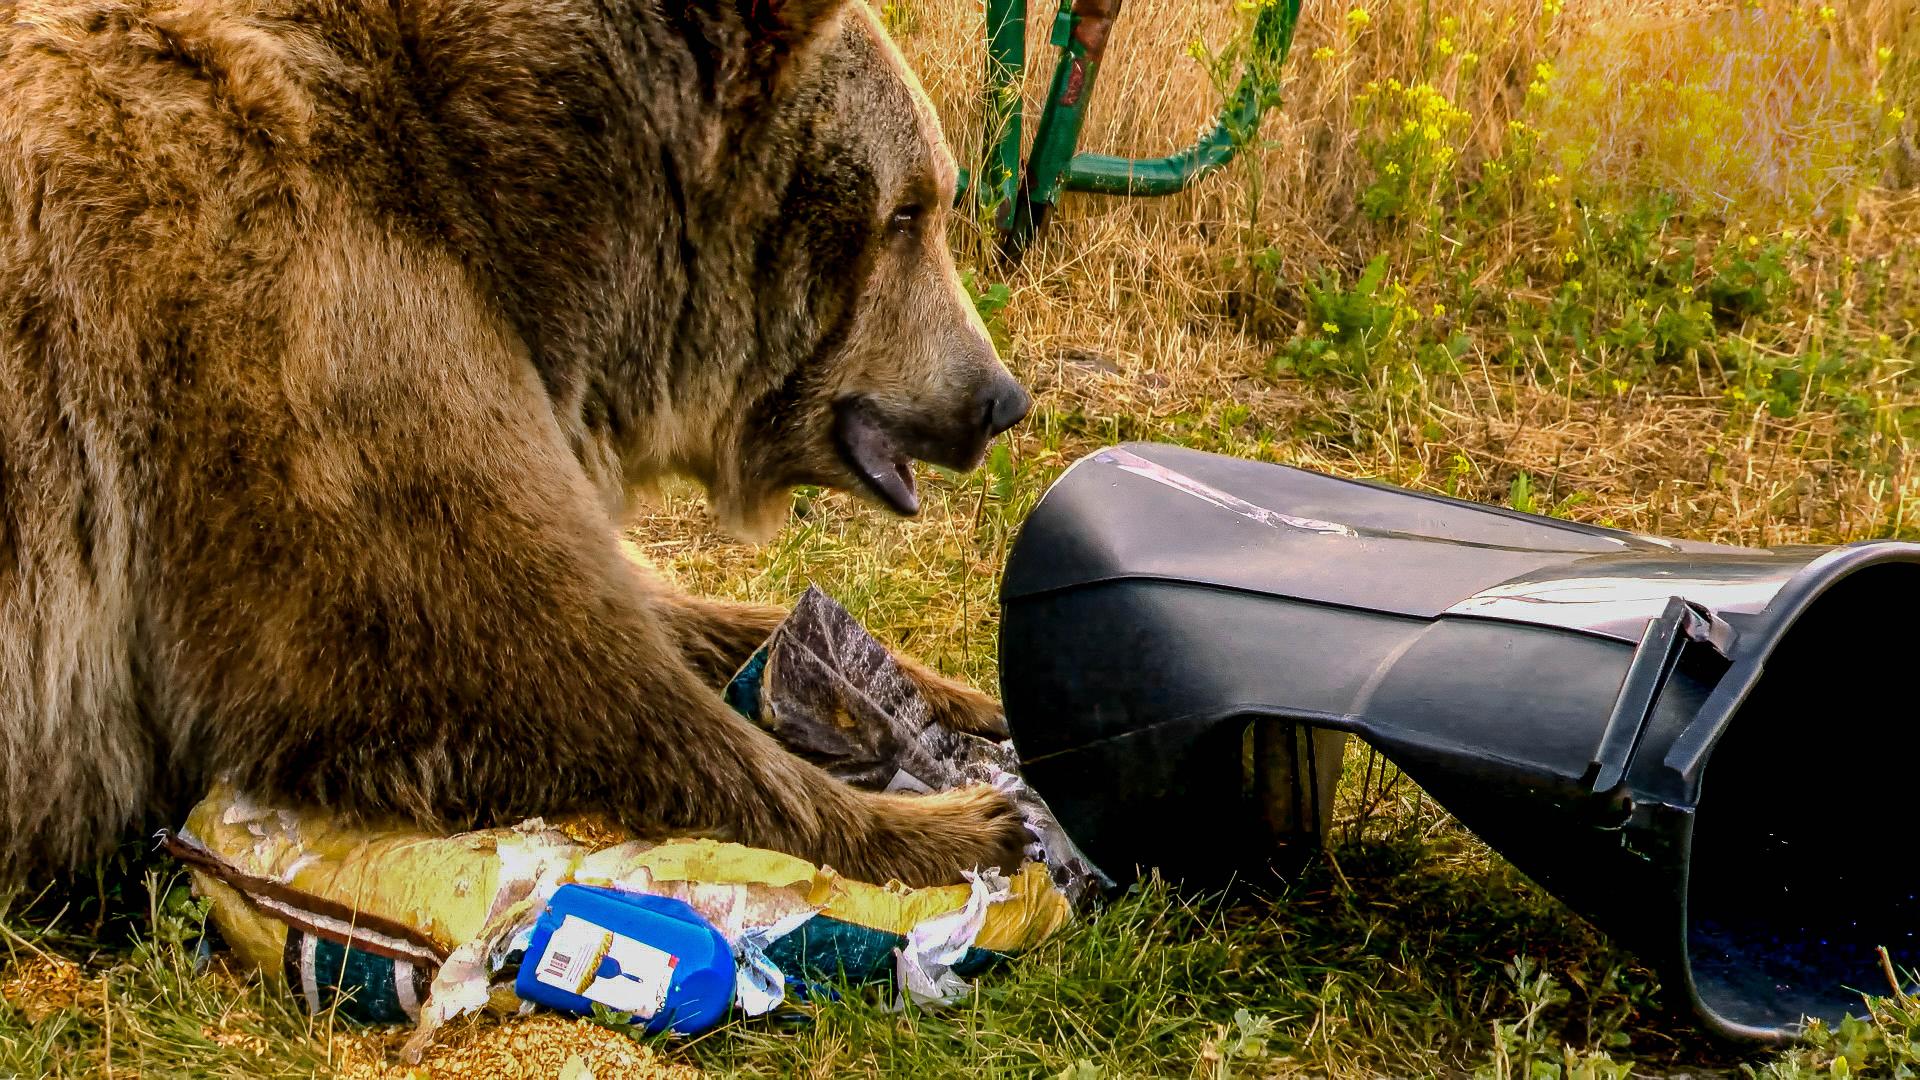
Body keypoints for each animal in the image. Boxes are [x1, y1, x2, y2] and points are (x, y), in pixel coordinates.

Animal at [0, 0, 1035, 890]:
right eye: (909, 212)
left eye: (933, 196)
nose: (999, 398)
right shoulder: (306, 337)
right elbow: (523, 667)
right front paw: (958, 823)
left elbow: (666, 608)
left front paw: (963, 697)